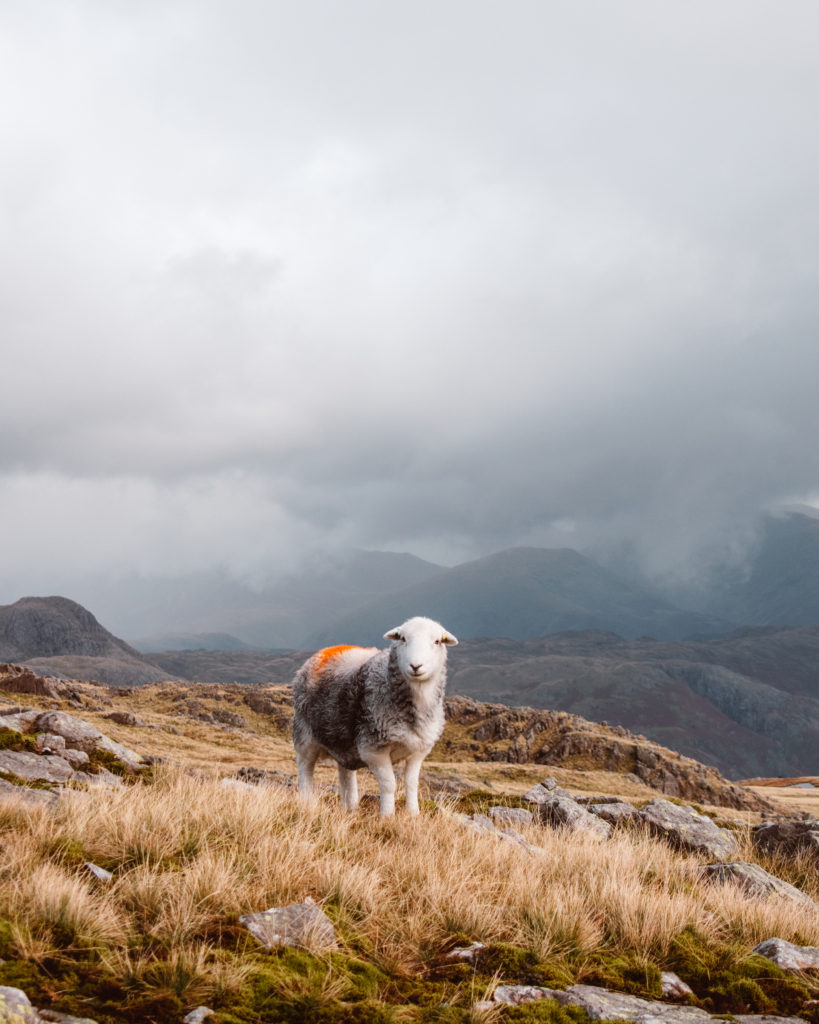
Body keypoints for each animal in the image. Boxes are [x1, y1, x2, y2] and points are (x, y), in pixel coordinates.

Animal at [292, 616, 459, 816]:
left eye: (437, 641)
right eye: (402, 639)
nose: (416, 666)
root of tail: (325, 651)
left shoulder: (419, 750)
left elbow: (412, 783)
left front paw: (413, 814)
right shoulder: (373, 748)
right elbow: (389, 784)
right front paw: (387, 816)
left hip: (343, 741)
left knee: (346, 773)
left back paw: (351, 808)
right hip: (305, 734)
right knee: (305, 768)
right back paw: (307, 802)